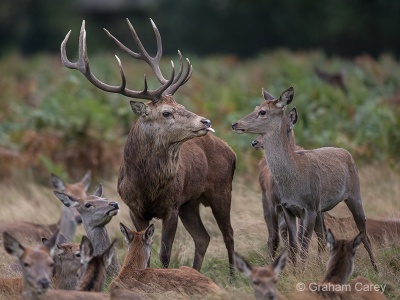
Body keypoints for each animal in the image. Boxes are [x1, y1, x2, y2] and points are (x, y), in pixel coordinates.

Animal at [61, 18, 236, 274]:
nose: (205, 121)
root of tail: (230, 151)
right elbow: (147, 250)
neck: (148, 186)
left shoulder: (172, 205)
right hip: (190, 203)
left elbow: (165, 254)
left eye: (182, 105)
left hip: (221, 189)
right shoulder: (134, 208)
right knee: (203, 237)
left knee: (228, 233)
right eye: (166, 112)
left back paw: (233, 275)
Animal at [231, 85, 378, 274]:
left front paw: (301, 273)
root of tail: (346, 152)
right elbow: (293, 245)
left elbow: (304, 245)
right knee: (322, 237)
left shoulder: (309, 207)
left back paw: (376, 269)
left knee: (364, 234)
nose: (235, 124)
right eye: (255, 107)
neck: (294, 179)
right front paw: (294, 273)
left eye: (262, 112)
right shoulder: (289, 208)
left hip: (354, 194)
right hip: (320, 208)